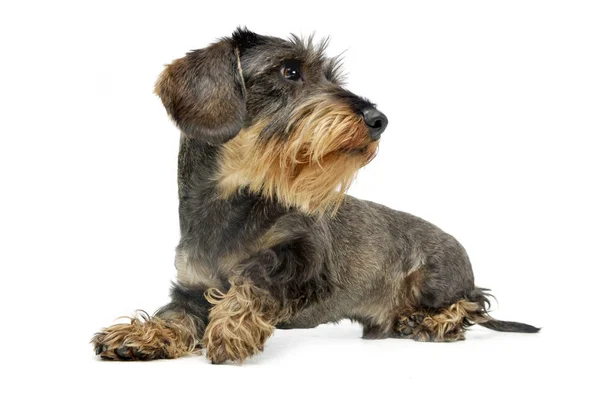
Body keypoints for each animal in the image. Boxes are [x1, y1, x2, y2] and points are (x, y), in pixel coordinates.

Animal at [90, 28, 540, 364]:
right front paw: (142, 334)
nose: (379, 120)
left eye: (331, 78)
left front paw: (231, 327)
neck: (230, 206)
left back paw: (430, 322)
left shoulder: (306, 263)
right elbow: (175, 313)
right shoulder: (190, 286)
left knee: (473, 306)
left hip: (436, 279)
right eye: (290, 70)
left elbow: (257, 278)